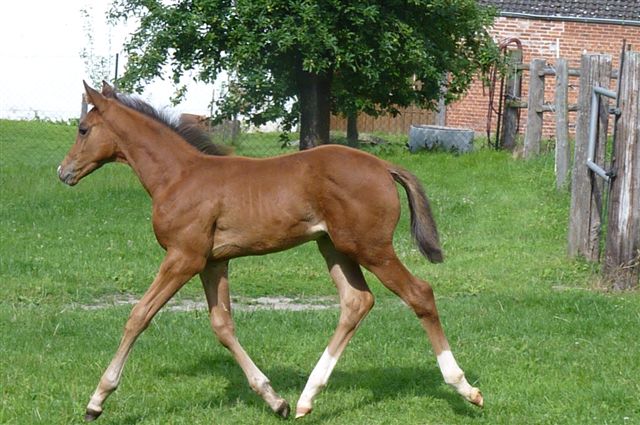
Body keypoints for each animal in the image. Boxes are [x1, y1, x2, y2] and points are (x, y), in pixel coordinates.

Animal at [58, 81, 480, 420]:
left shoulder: (183, 257)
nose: (63, 172)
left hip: (370, 247)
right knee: (357, 301)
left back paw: (464, 387)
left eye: (83, 129)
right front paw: (274, 400)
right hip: (334, 247)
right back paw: (306, 399)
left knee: (419, 293)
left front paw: (97, 400)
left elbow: (138, 315)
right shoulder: (214, 262)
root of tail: (383, 165)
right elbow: (222, 325)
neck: (178, 177)